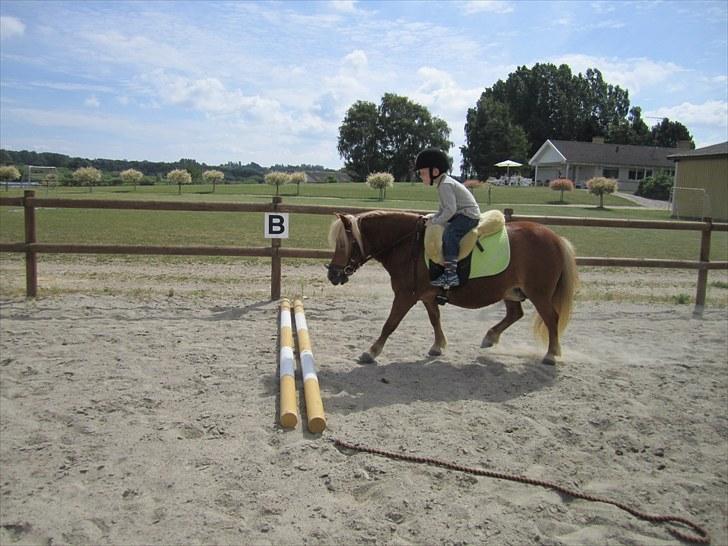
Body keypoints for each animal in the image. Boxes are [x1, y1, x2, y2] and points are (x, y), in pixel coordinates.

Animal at [328, 210, 576, 364]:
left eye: (343, 244)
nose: (332, 274)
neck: (407, 245)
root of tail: (556, 238)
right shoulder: (427, 296)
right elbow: (435, 319)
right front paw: (438, 346)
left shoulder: (405, 296)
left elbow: (390, 324)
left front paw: (371, 352)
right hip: (511, 291)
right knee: (515, 314)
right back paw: (490, 337)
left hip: (539, 294)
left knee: (551, 318)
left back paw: (551, 355)